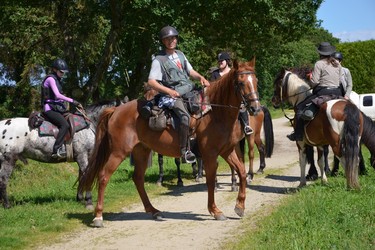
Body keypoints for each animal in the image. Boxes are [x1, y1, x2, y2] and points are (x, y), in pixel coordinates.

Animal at [79, 58, 262, 227]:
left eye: (256, 81)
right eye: (240, 83)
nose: (255, 108)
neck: (214, 112)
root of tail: (116, 110)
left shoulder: (227, 151)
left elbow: (242, 172)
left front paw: (240, 206)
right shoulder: (210, 154)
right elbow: (210, 181)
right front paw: (215, 210)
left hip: (141, 151)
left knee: (138, 178)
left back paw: (153, 211)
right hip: (118, 152)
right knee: (104, 176)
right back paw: (98, 216)